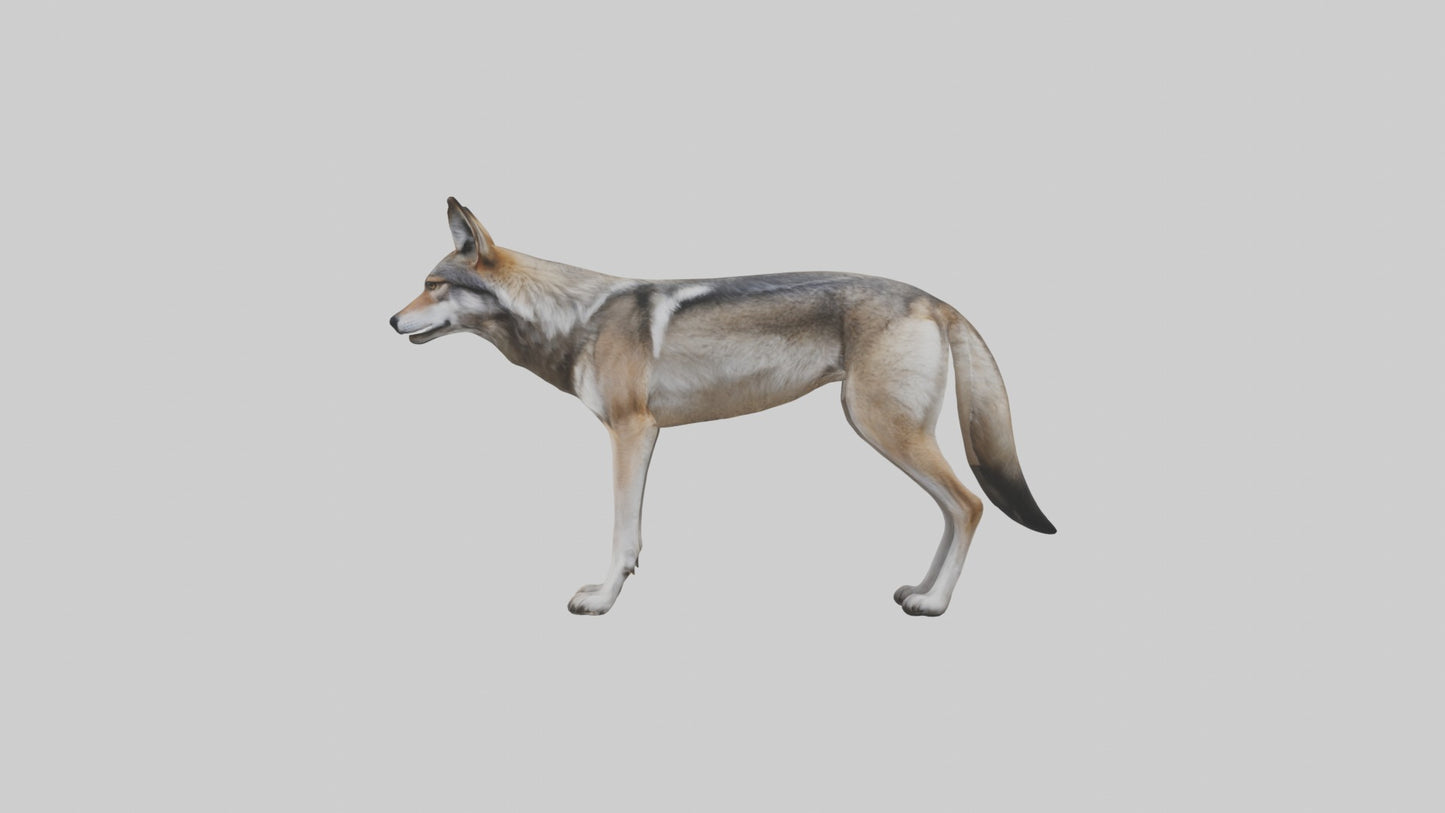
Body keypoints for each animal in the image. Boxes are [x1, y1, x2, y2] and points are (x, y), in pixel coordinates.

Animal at [390, 198, 1055, 616]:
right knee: (952, 510)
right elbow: (630, 534)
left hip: (884, 429)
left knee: (969, 505)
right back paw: (920, 589)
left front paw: (602, 601)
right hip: (886, 432)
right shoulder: (643, 435)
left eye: (432, 285)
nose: (391, 321)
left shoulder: (632, 433)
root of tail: (934, 299)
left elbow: (622, 532)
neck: (574, 318)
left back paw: (935, 604)